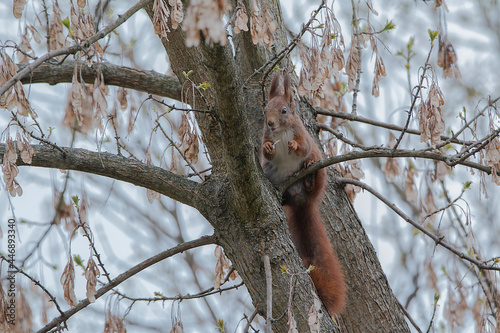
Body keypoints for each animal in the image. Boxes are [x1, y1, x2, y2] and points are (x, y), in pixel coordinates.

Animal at [260, 70, 346, 316]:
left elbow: (303, 146)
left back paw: (309, 179)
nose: (270, 123)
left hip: (319, 165)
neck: (281, 131)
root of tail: (303, 202)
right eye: (265, 110)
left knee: (312, 170)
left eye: (284, 111)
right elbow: (266, 151)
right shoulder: (265, 137)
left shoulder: (304, 137)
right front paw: (268, 148)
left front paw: (294, 147)